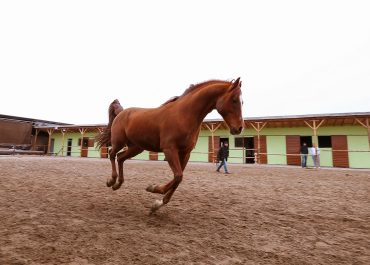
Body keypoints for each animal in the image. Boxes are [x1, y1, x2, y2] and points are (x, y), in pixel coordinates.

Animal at [97, 77, 244, 211]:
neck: (184, 115)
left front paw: (157, 204)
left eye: (242, 101)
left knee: (120, 158)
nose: (239, 128)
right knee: (112, 154)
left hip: (136, 148)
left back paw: (117, 184)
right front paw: (154, 189)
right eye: (234, 100)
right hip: (119, 142)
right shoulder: (169, 150)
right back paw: (111, 181)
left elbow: (178, 178)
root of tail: (121, 112)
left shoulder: (185, 153)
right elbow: (178, 176)